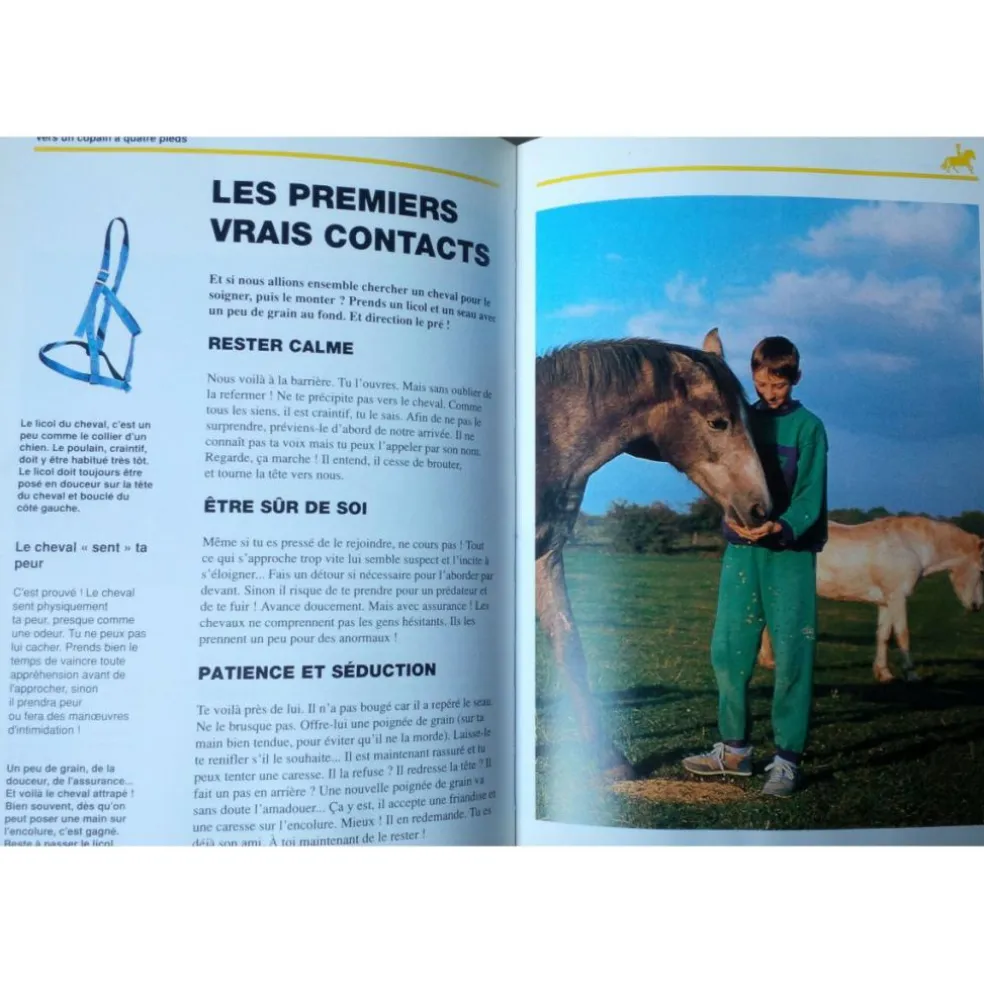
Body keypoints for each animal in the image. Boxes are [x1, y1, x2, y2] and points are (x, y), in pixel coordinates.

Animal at [757, 517, 984, 682]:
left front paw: (883, 673)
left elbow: (883, 635)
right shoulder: (898, 599)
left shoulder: (886, 602)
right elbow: (902, 636)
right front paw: (911, 674)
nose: (977, 606)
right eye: (982, 571)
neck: (911, 546)